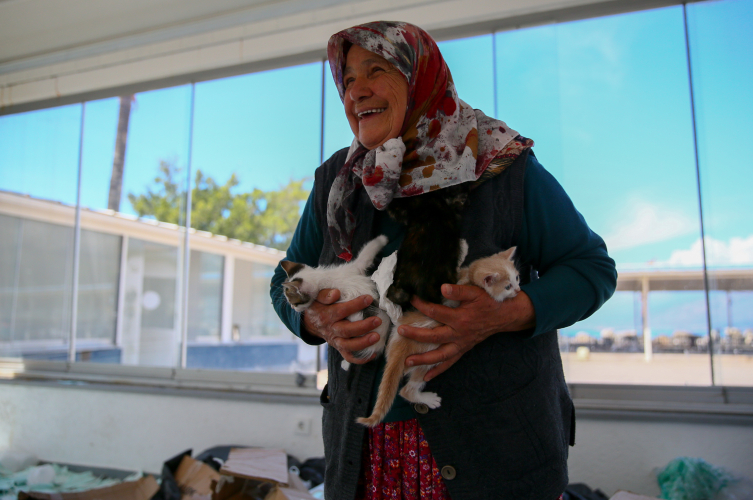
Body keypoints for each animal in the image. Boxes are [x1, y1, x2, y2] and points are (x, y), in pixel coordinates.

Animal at [280, 235, 390, 372]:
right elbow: (367, 252)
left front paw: (382, 239)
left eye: (295, 303)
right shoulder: (355, 268)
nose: (293, 308)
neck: (324, 278)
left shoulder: (352, 271)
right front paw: (382, 240)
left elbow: (367, 250)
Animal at [356, 245, 520, 426]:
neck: (470, 276)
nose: (518, 290)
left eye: (517, 277)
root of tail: (398, 350)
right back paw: (425, 398)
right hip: (423, 361)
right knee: (407, 390)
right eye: (507, 287)